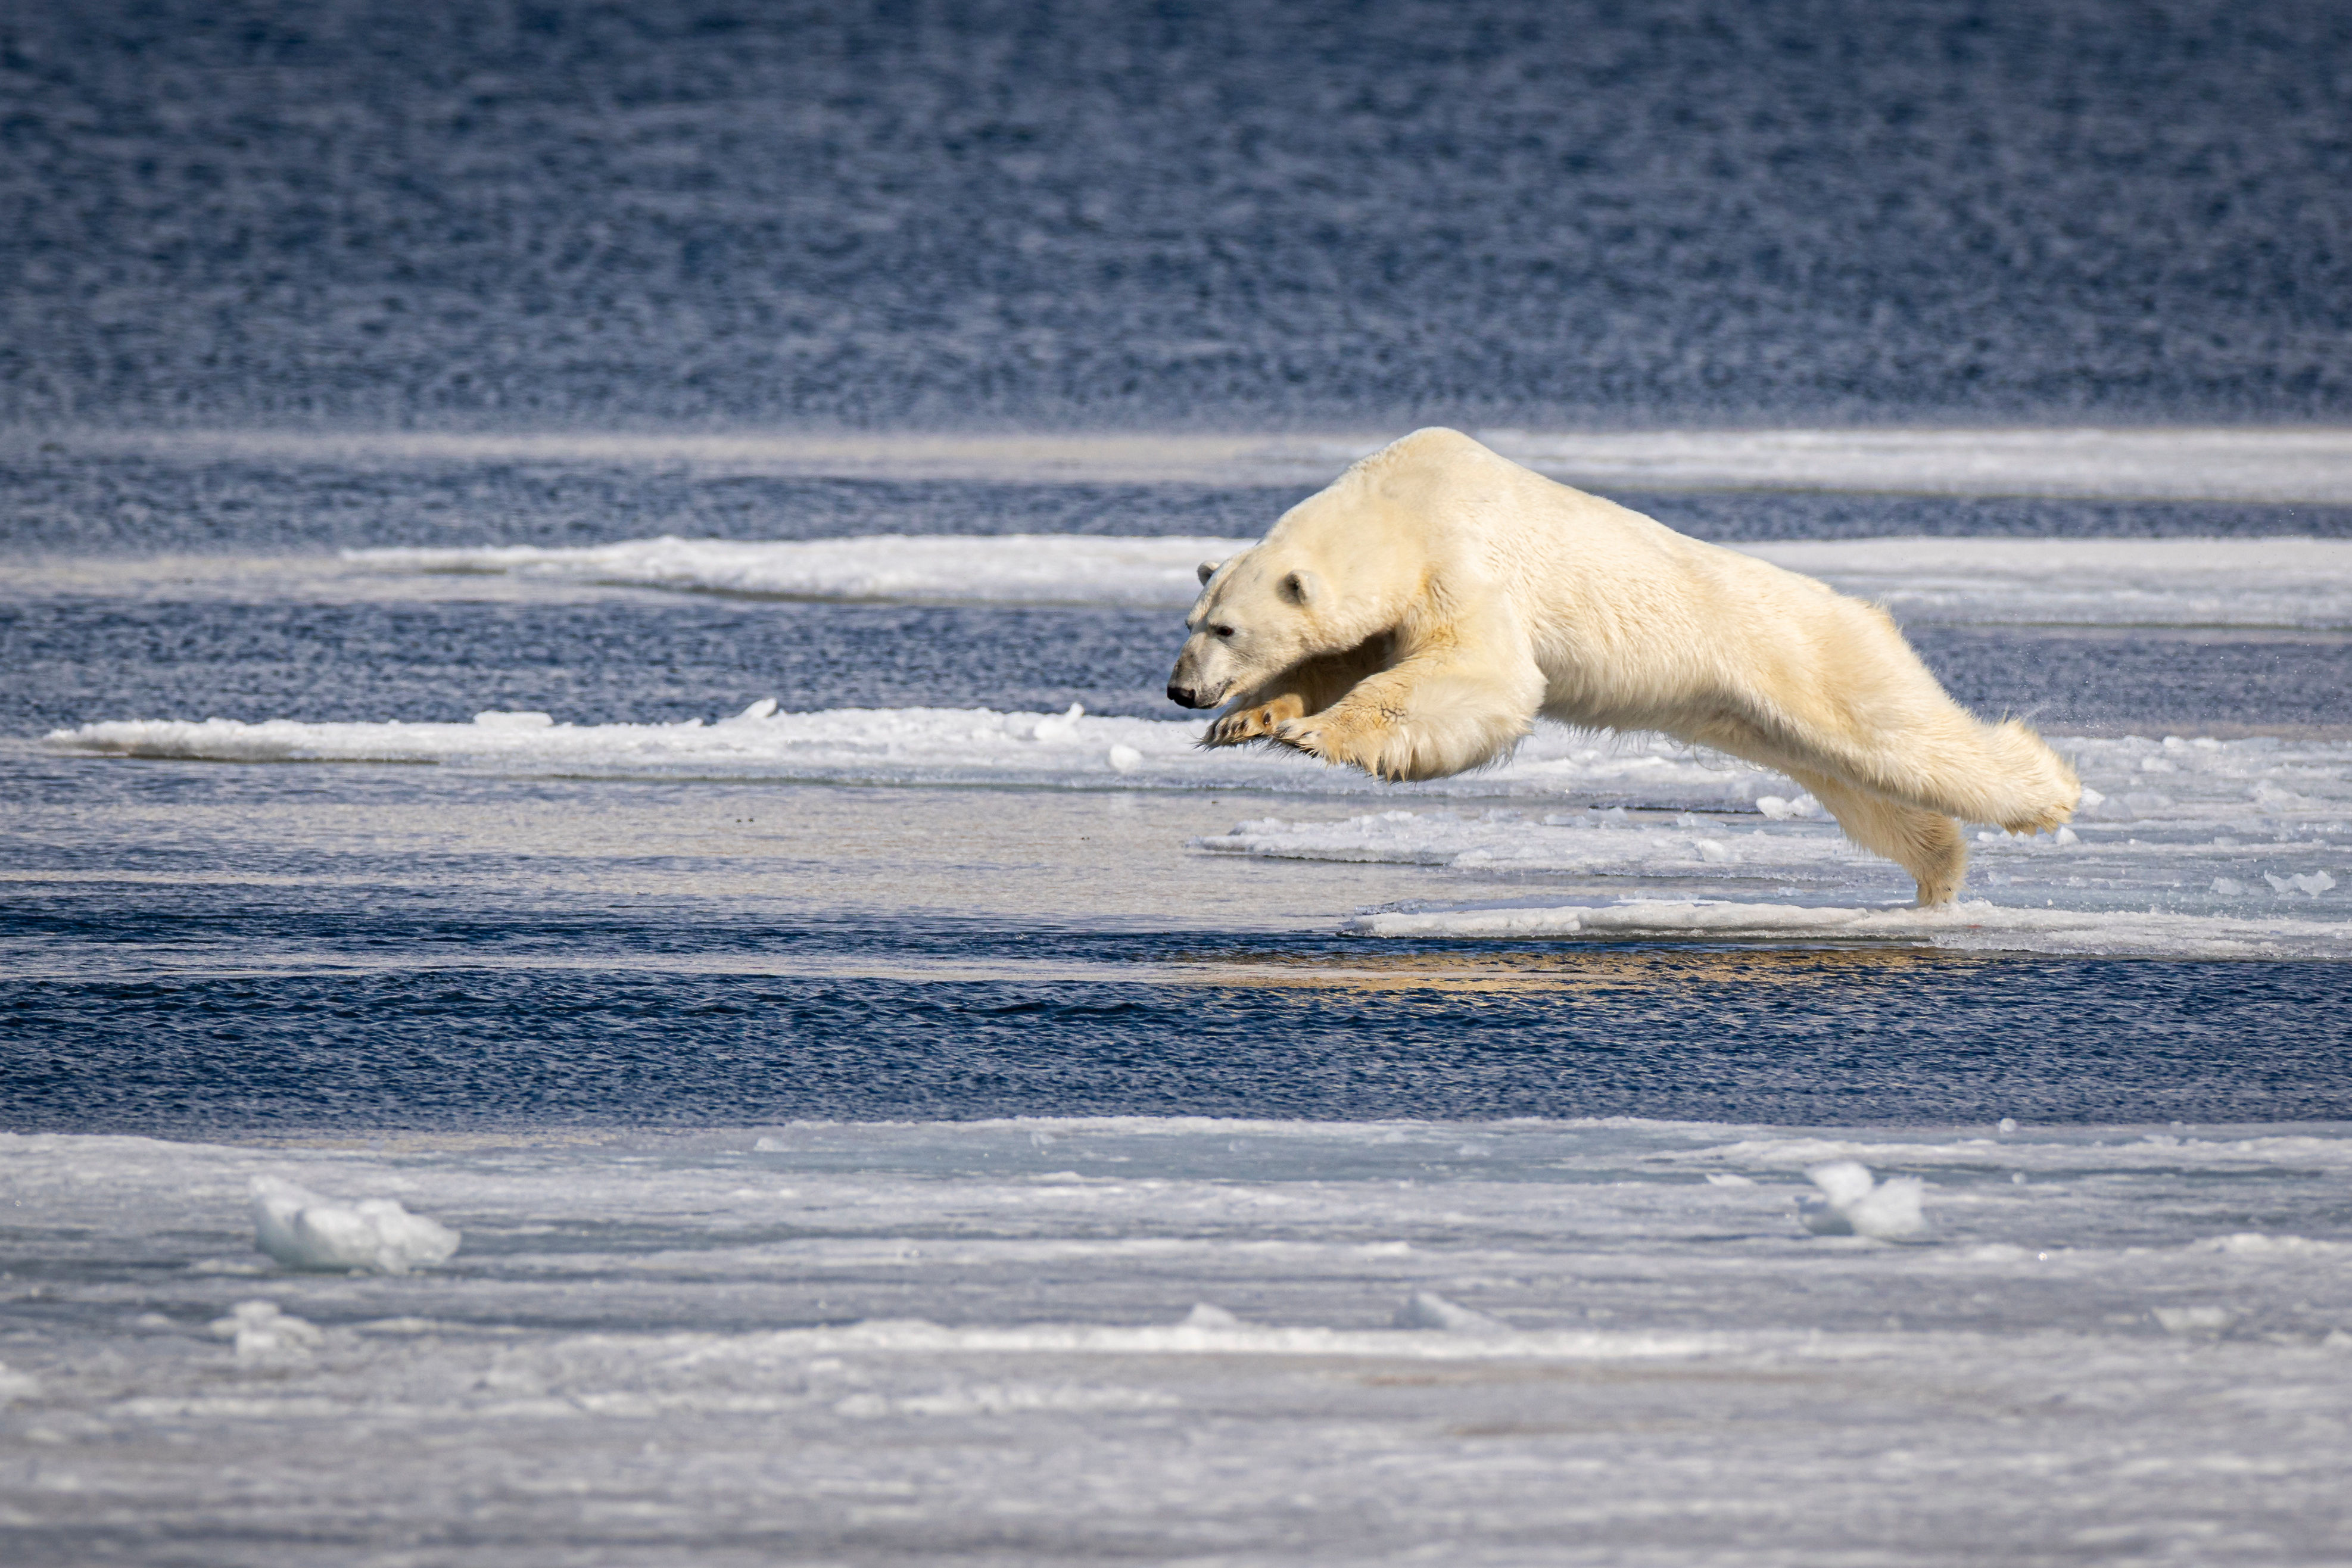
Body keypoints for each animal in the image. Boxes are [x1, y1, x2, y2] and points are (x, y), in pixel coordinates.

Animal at [1165, 427, 2079, 905]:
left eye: (1227, 628)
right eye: (1194, 622)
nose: (1180, 689)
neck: (1398, 508)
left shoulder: (1461, 561)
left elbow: (1481, 674)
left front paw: (1321, 736)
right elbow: (1339, 657)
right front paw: (1251, 720)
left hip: (1808, 652)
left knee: (1895, 731)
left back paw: (2052, 795)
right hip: (1758, 716)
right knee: (1858, 785)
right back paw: (1938, 868)